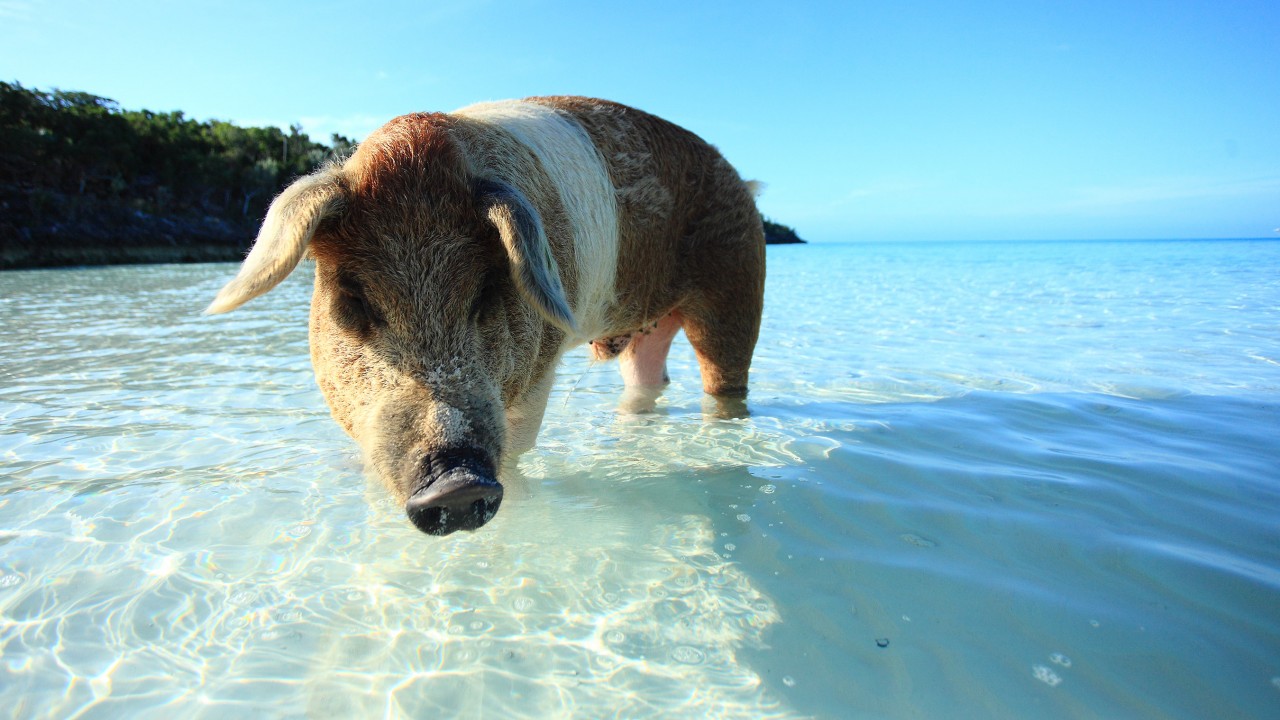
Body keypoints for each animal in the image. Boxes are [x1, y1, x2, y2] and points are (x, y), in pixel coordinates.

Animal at [206, 96, 765, 535]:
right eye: (354, 300)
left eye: (486, 292)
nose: (454, 483)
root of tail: (744, 182)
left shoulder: (538, 374)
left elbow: (517, 451)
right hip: (648, 332)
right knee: (650, 381)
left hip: (738, 288)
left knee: (725, 379)